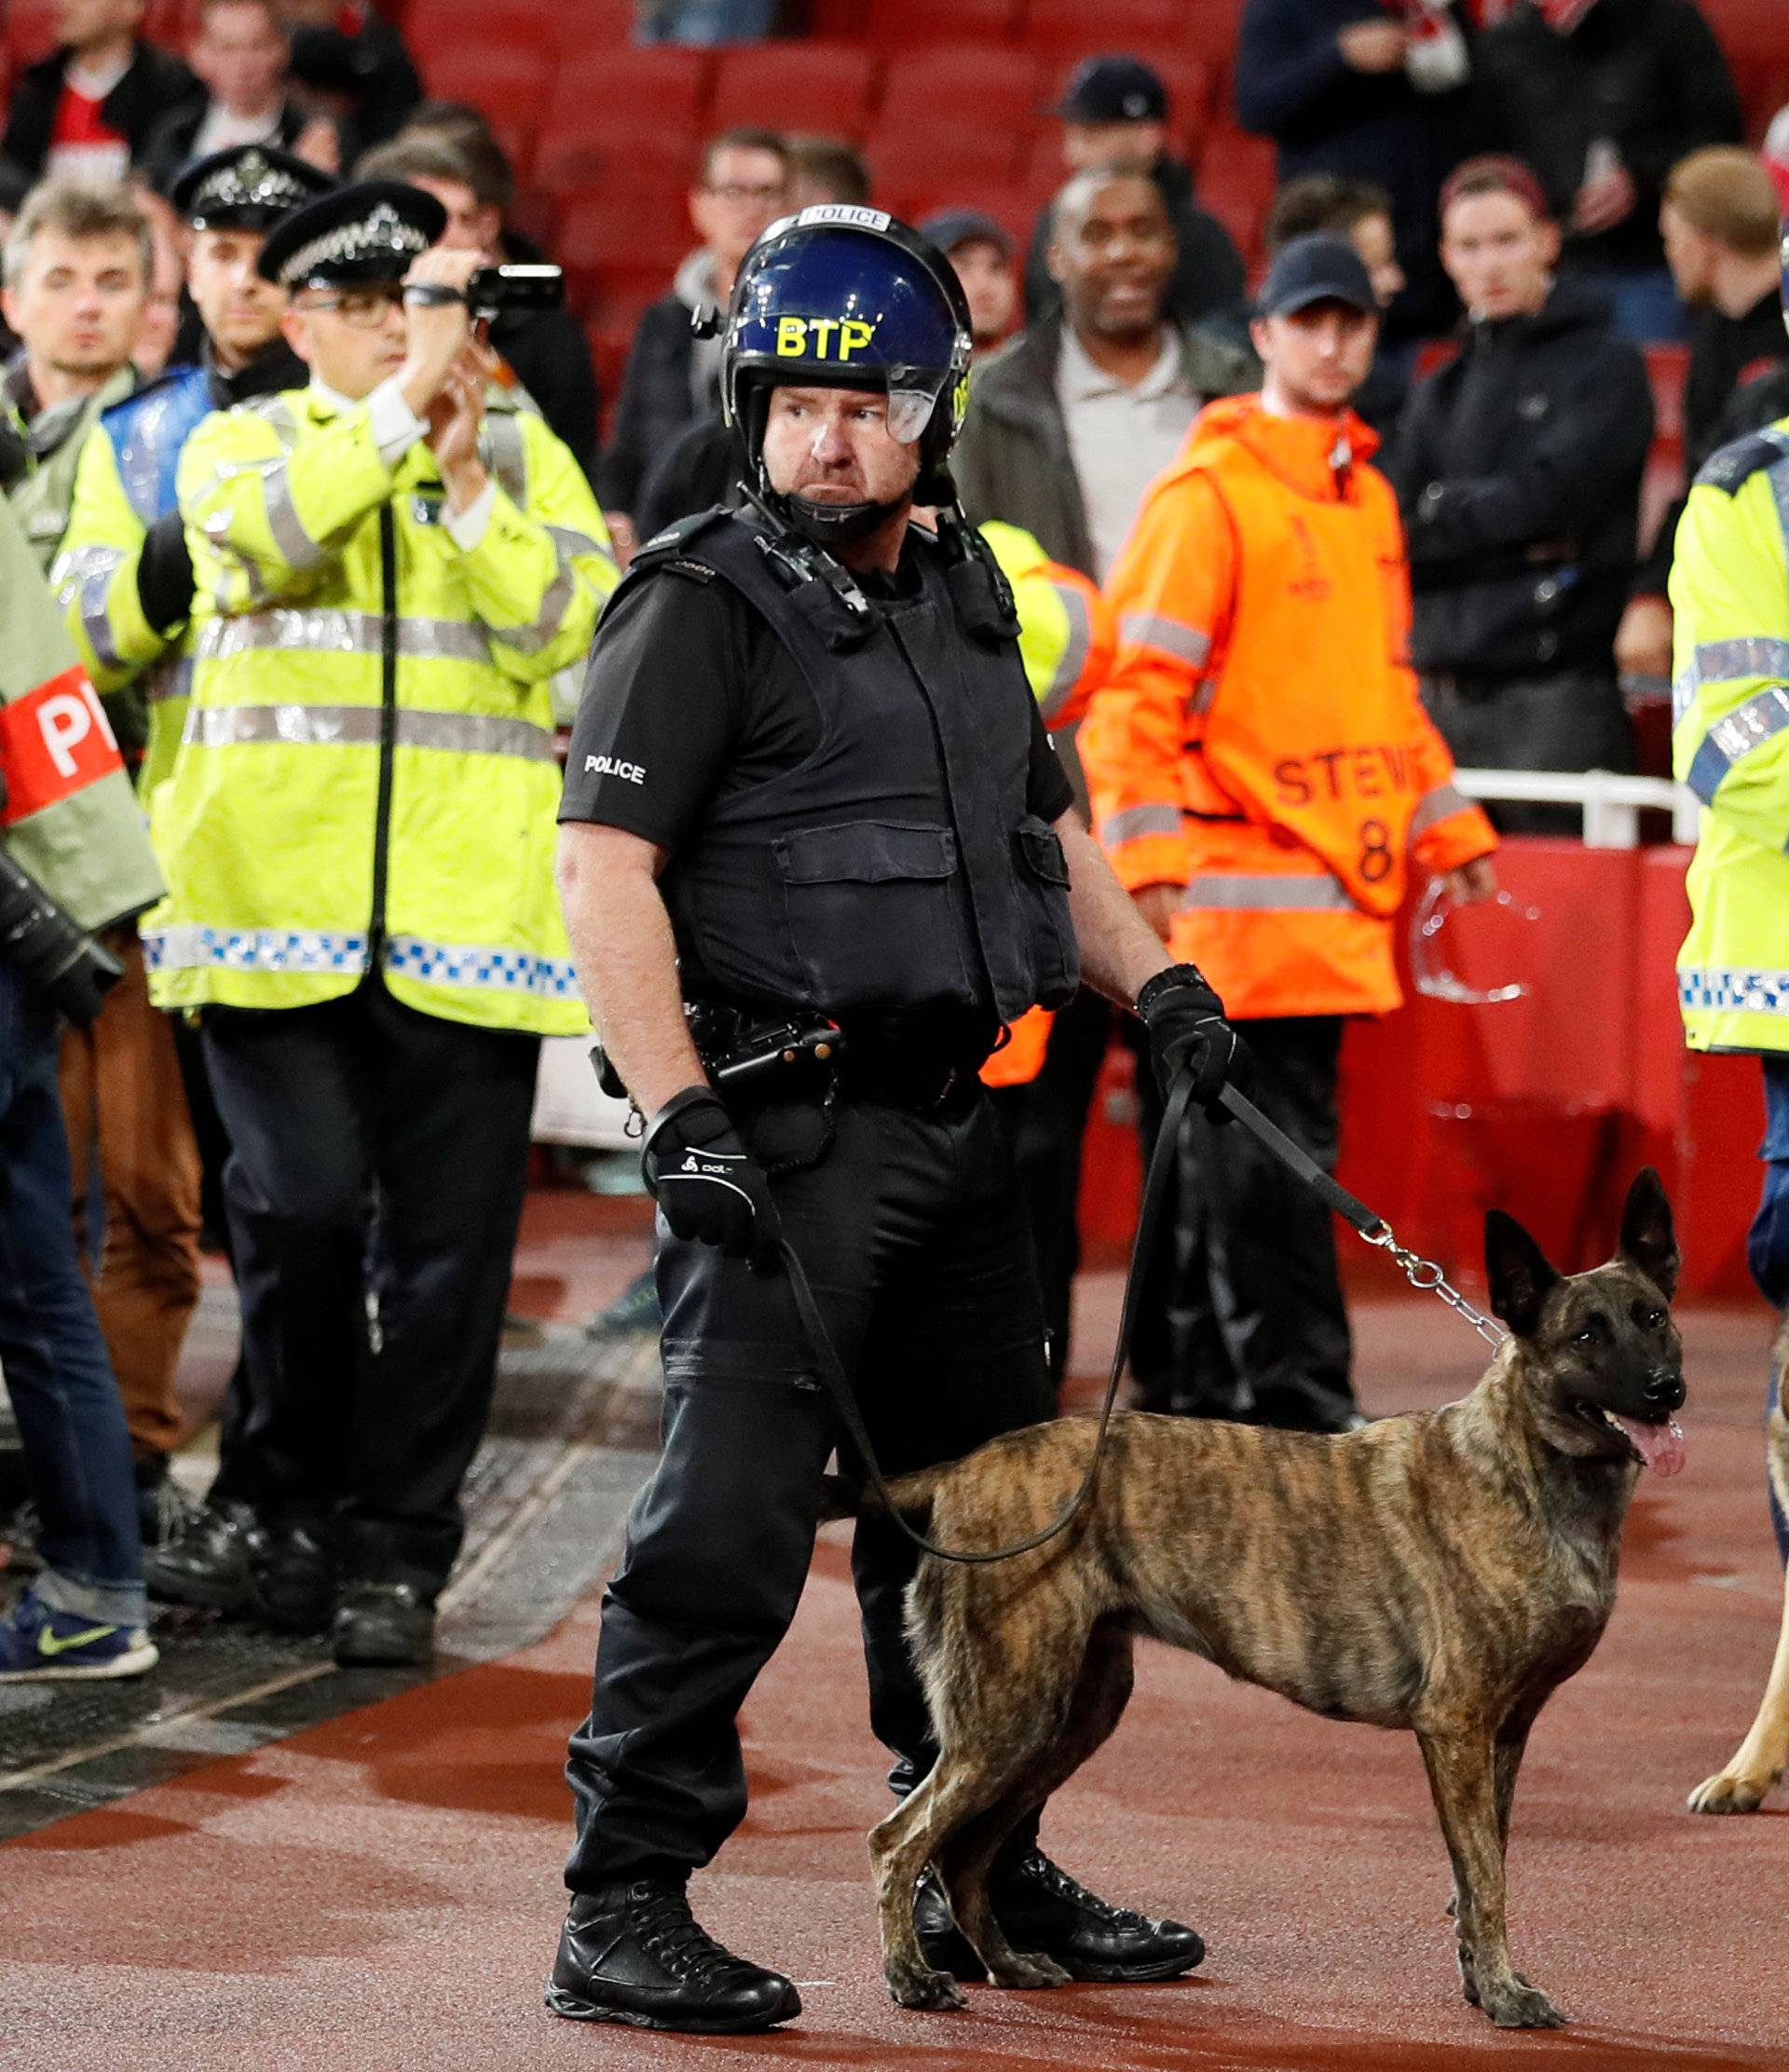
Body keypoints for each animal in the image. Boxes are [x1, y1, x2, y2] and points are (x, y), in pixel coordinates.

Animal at [870, 1177, 1691, 2030]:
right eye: (1586, 1335)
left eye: (1652, 1317)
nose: (1665, 1391)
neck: (1527, 1466)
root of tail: (962, 1469)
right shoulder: (1457, 1725)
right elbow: (1487, 1877)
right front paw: (1503, 1992)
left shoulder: (1508, 1732)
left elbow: (1479, 1872)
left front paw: (1481, 1981)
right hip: (1009, 1712)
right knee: (900, 1840)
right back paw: (911, 1977)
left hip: (1069, 1713)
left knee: (967, 1852)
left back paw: (1007, 1964)